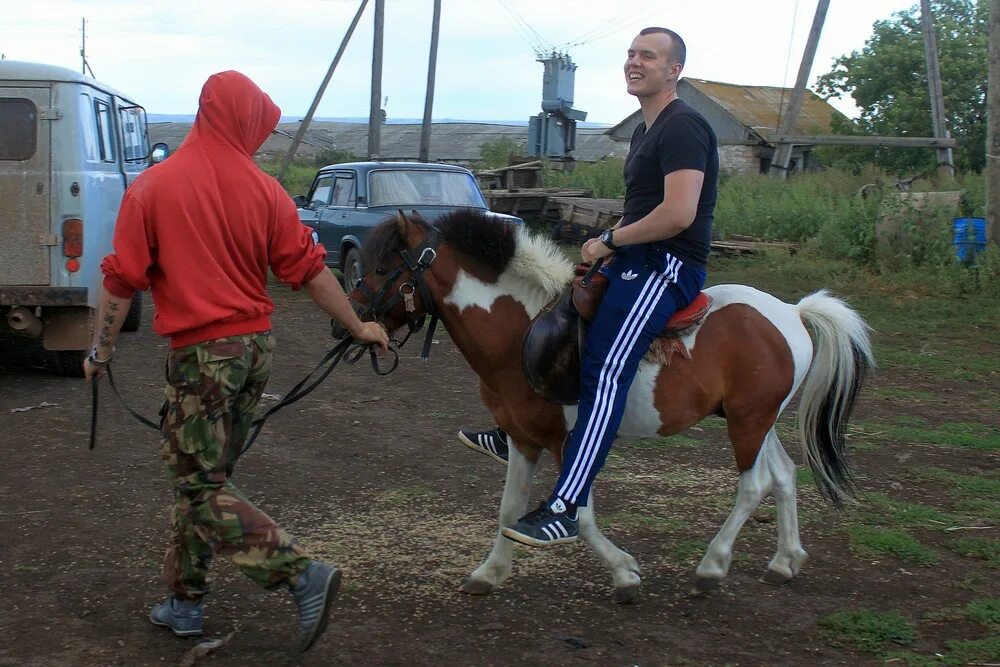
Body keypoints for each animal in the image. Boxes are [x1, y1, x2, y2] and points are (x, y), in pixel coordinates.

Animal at [348, 211, 872, 604]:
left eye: (382, 269)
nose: (346, 324)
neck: (518, 331)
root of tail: (793, 311)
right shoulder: (521, 438)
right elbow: (509, 508)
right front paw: (489, 572)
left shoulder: (570, 443)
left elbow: (577, 517)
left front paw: (624, 575)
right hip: (757, 422)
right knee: (783, 475)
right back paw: (784, 561)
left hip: (747, 424)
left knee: (755, 484)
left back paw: (712, 565)